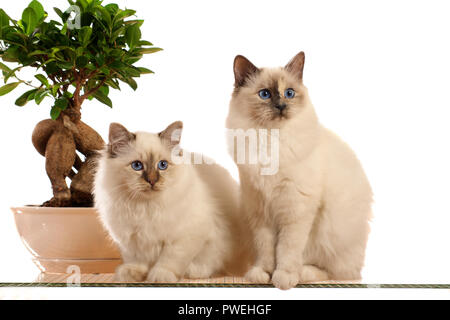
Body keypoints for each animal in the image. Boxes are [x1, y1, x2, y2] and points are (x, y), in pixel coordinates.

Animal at [94, 121, 250, 282]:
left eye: (162, 165)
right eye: (137, 165)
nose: (152, 181)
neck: (146, 206)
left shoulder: (184, 236)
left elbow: (169, 260)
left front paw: (159, 276)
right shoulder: (131, 240)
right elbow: (137, 260)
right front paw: (134, 273)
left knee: (210, 264)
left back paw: (193, 271)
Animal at [225, 51, 372, 288]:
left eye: (289, 93)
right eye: (265, 94)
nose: (281, 106)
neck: (271, 139)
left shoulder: (295, 210)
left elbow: (287, 249)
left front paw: (283, 277)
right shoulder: (260, 210)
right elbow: (266, 249)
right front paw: (264, 273)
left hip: (329, 233)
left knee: (338, 272)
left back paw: (303, 273)